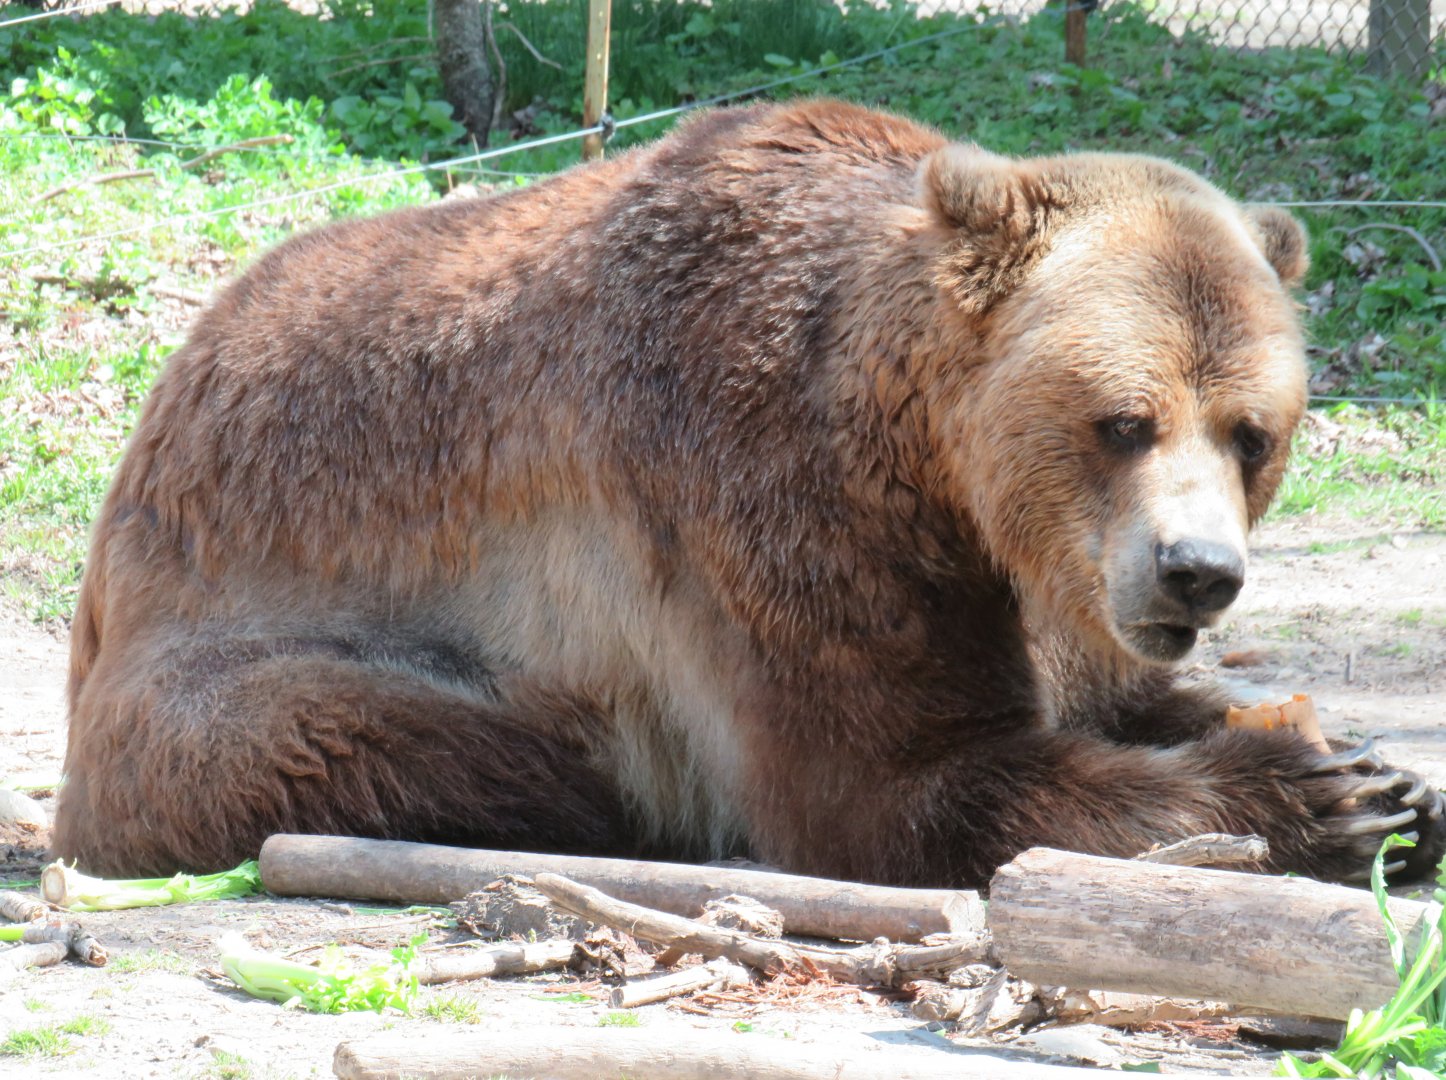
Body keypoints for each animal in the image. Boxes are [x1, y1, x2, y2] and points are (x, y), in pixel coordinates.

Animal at [54, 99, 1444, 886]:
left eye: (1253, 433)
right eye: (1123, 420)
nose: (1197, 571)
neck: (931, 457)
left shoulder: (1044, 572)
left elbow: (1109, 691)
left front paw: (1378, 768)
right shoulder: (765, 487)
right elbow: (894, 782)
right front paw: (1321, 797)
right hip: (252, 649)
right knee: (443, 746)